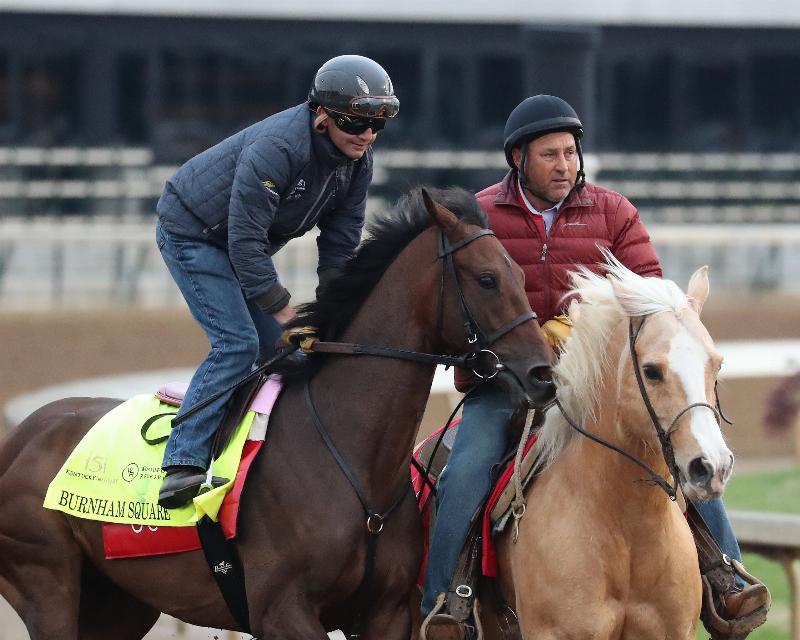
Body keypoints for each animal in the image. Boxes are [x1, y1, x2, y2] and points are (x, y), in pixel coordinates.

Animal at [0, 187, 555, 640]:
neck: (351, 457)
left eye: (519, 273)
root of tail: (21, 435)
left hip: (119, 603)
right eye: (487, 279)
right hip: (47, 581)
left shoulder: (386, 612)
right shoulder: (281, 611)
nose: (542, 374)